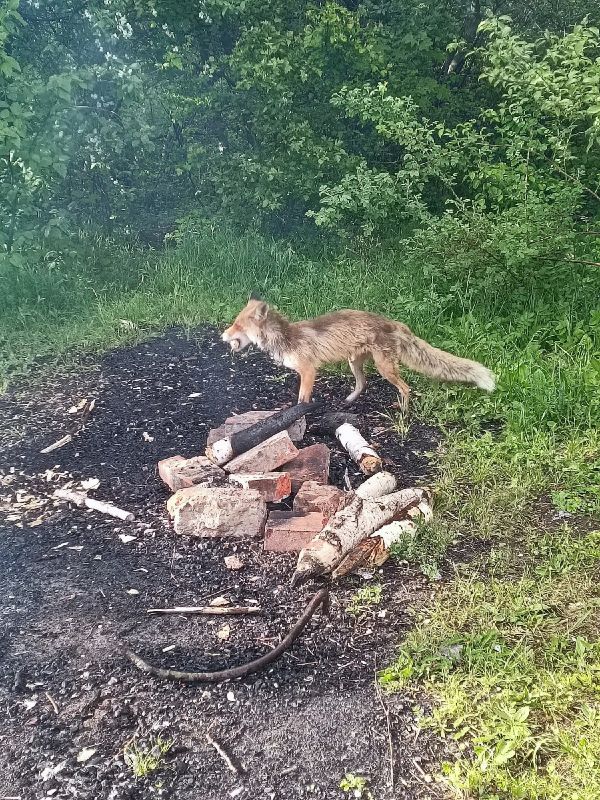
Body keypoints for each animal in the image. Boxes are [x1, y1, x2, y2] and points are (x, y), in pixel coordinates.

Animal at [223, 298, 494, 412]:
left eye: (237, 325)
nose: (223, 336)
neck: (287, 338)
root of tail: (393, 322)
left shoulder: (309, 371)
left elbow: (302, 400)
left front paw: (298, 415)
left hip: (385, 368)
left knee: (406, 388)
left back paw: (403, 412)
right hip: (354, 362)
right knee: (363, 384)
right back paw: (349, 402)